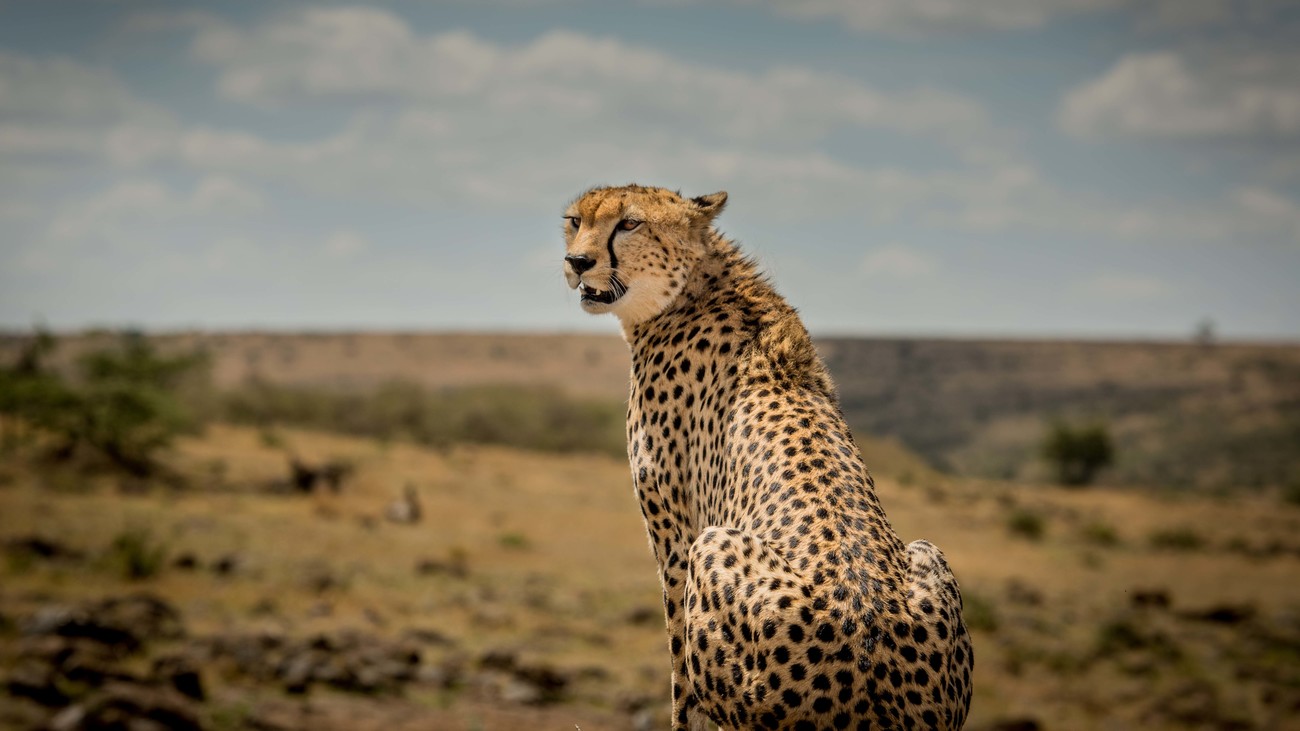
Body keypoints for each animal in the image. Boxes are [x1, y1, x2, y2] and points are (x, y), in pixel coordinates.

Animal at [564, 183, 972, 728]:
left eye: (629, 224)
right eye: (574, 221)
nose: (577, 261)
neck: (694, 287)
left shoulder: (675, 536)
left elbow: (679, 671)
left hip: (712, 547)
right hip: (929, 553)